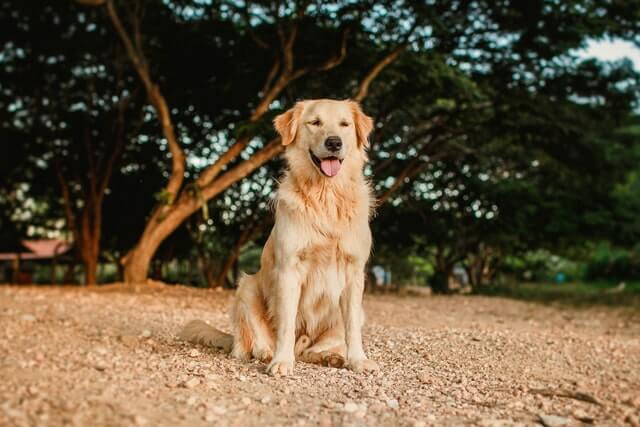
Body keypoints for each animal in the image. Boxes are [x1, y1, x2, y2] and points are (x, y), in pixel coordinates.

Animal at [180, 98, 378, 376]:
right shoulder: (288, 269)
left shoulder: (354, 272)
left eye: (344, 124)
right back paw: (267, 353)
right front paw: (282, 361)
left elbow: (351, 330)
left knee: (311, 350)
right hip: (247, 287)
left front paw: (358, 360)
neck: (326, 195)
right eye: (315, 122)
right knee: (250, 346)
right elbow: (286, 324)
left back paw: (330, 357)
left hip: (359, 311)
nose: (334, 143)